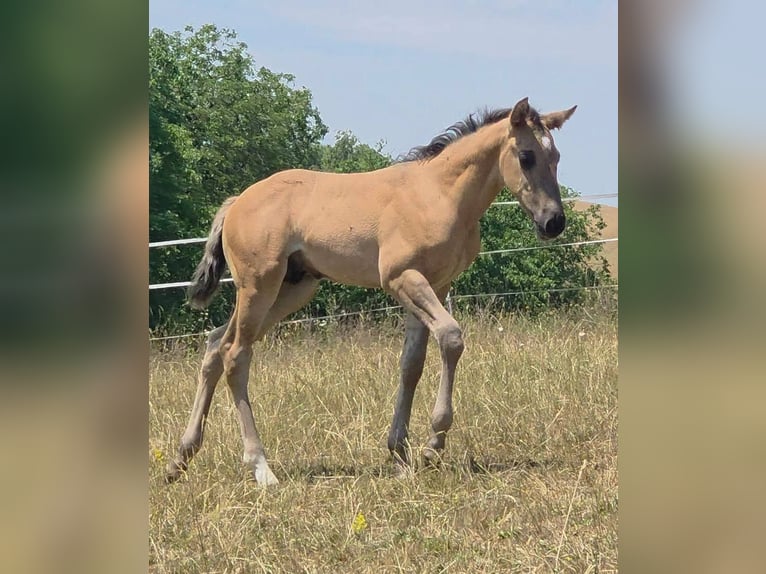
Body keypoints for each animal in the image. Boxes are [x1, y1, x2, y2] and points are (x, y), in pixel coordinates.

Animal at [165, 97, 576, 485]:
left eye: (556, 156)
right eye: (526, 157)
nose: (553, 222)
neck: (440, 195)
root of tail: (237, 202)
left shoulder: (436, 285)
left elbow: (412, 364)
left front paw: (400, 454)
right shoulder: (402, 278)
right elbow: (451, 338)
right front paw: (433, 444)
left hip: (292, 290)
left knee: (216, 344)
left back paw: (180, 459)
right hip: (258, 286)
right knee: (236, 355)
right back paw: (261, 467)